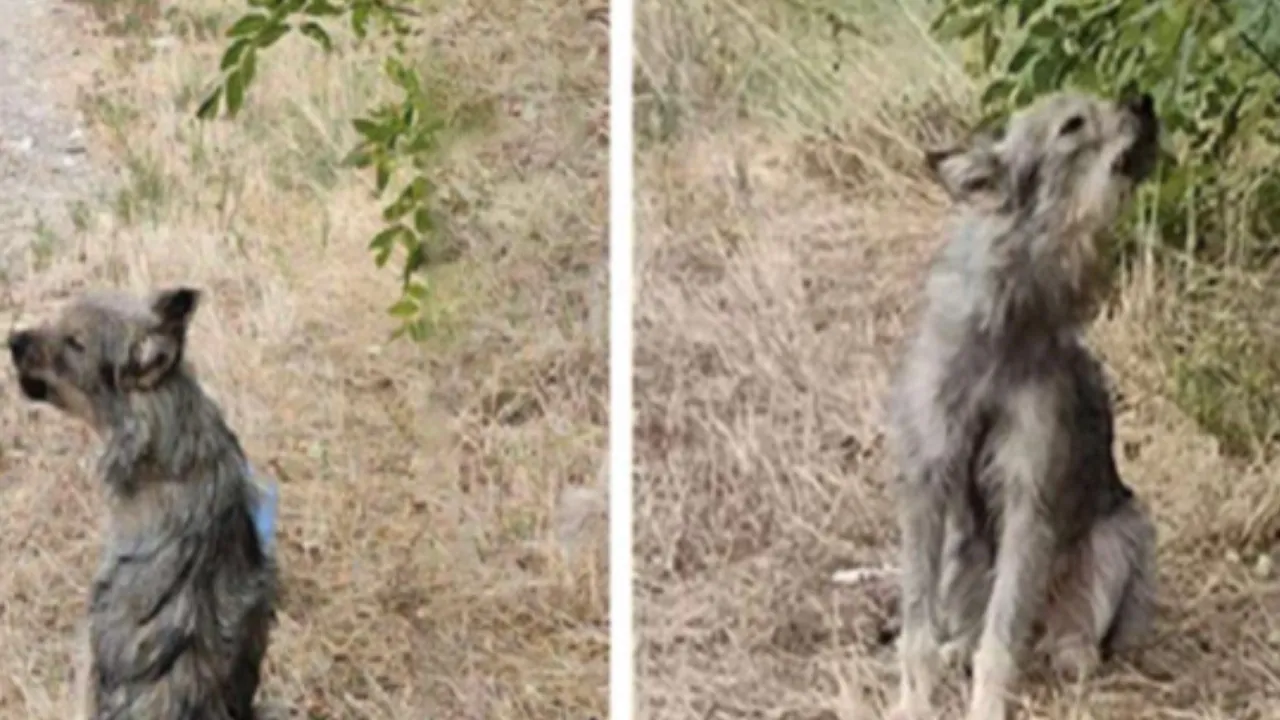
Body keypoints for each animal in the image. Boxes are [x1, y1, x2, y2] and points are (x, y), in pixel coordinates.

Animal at [885, 90, 1167, 717]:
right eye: (1072, 125)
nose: (1142, 100)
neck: (1006, 323)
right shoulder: (928, 484)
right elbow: (918, 632)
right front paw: (913, 702)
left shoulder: (1027, 499)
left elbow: (1001, 640)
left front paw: (987, 707)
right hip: (960, 549)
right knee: (964, 627)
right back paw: (955, 650)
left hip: (1118, 537)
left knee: (1060, 636)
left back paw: (1070, 652)